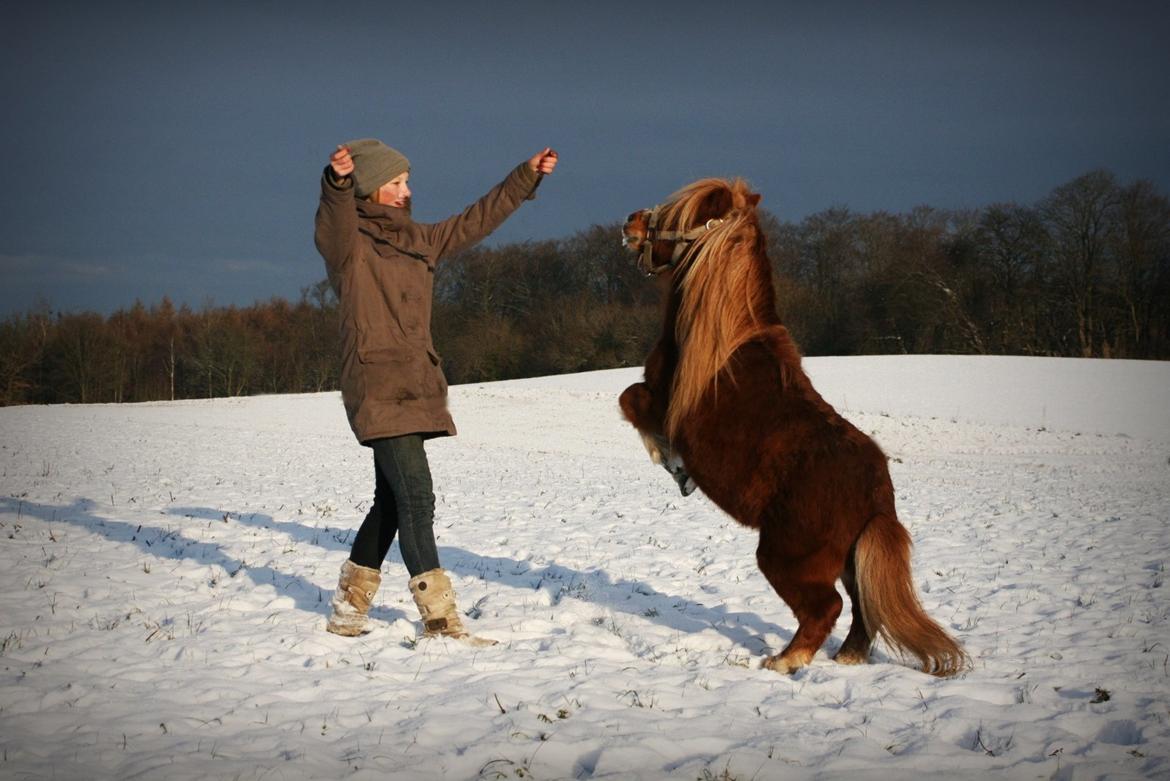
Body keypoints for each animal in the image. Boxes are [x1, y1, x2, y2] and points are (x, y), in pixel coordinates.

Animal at [622, 178, 968, 678]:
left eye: (675, 216)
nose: (629, 222)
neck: (725, 334)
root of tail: (877, 489)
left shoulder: (661, 399)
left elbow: (628, 397)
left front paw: (672, 464)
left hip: (786, 556)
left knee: (826, 608)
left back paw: (786, 660)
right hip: (849, 556)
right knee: (861, 607)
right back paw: (847, 656)